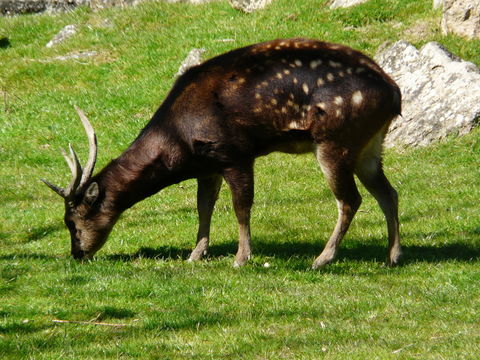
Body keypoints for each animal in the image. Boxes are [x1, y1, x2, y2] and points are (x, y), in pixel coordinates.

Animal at [41, 38, 404, 270]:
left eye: (72, 221)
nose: (77, 254)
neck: (180, 144)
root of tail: (394, 92)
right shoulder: (208, 164)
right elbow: (204, 207)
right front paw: (195, 254)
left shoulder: (235, 151)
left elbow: (241, 206)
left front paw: (241, 259)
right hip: (369, 146)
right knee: (389, 193)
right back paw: (393, 256)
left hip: (335, 138)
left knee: (350, 199)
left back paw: (322, 259)